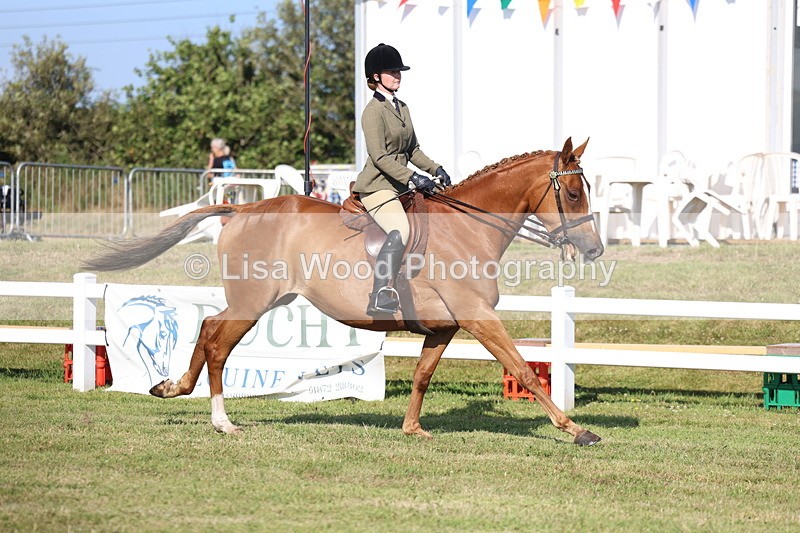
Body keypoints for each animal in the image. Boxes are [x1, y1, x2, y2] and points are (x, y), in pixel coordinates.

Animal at [84, 137, 605, 445]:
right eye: (573, 193)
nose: (594, 249)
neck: (467, 228)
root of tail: (239, 210)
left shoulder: (445, 326)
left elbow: (422, 375)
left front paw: (412, 428)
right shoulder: (477, 316)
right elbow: (525, 370)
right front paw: (576, 430)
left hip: (265, 299)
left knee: (210, 328)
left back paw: (172, 387)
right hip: (253, 301)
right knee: (216, 339)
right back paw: (220, 419)